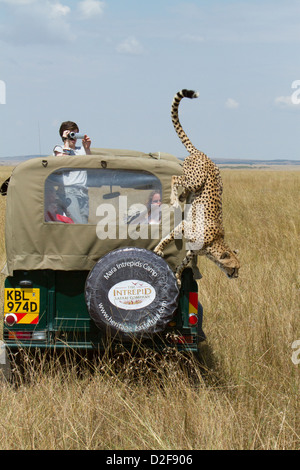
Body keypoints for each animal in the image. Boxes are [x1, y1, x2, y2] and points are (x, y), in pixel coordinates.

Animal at [154, 90, 240, 284]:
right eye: (234, 267)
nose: (237, 276)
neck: (214, 243)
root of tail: (202, 153)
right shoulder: (185, 226)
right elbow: (169, 237)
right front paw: (159, 249)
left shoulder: (193, 249)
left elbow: (184, 262)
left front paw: (178, 276)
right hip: (196, 180)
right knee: (176, 177)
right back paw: (174, 199)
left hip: (203, 184)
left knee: (185, 188)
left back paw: (182, 198)